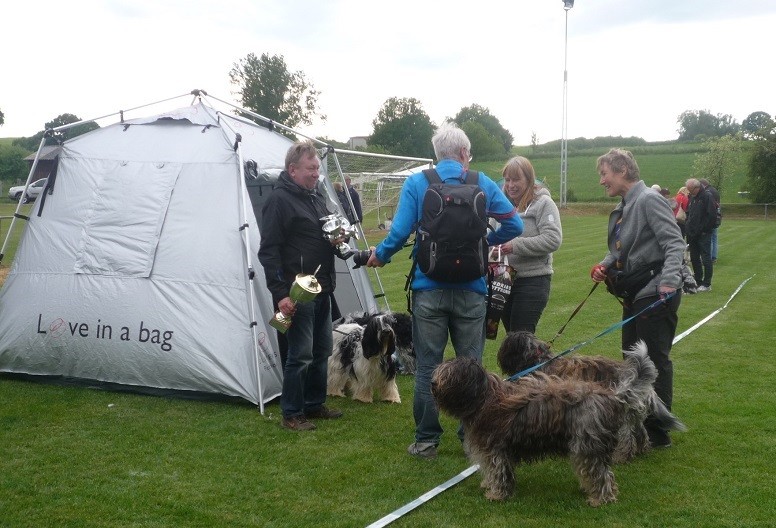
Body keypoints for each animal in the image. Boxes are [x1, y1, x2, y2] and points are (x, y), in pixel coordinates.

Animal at [430, 344, 660, 506]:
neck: (483, 398)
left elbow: (499, 471)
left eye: (448, 375)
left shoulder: (496, 449)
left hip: (587, 445)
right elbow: (490, 470)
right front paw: (488, 484)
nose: (432, 383)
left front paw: (496, 495)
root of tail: (612, 396)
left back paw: (600, 499)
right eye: (440, 371)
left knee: (602, 474)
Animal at [498, 332, 684, 460]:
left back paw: (621, 456)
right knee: (640, 432)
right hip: (635, 412)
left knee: (627, 436)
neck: (539, 361)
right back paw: (642, 449)